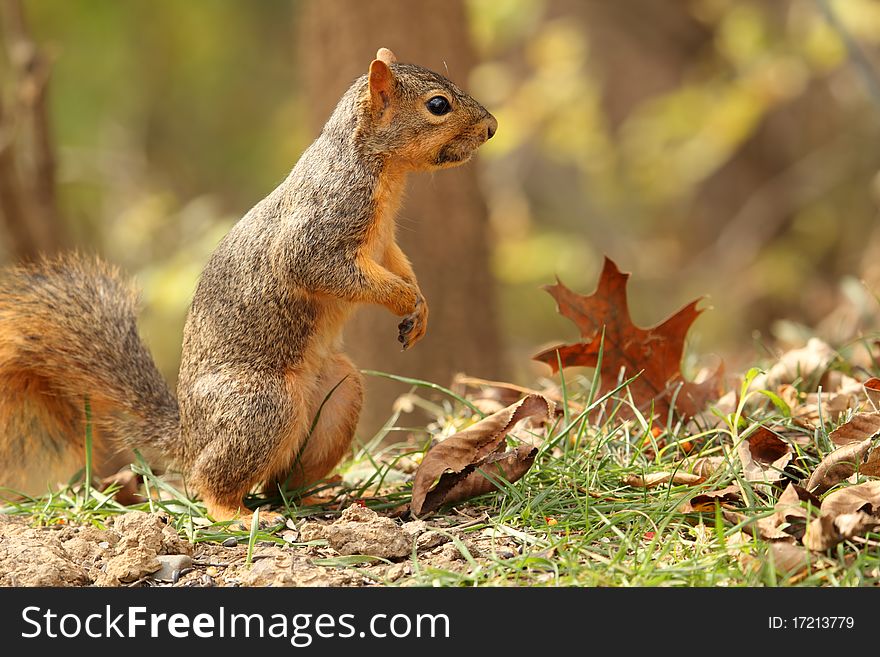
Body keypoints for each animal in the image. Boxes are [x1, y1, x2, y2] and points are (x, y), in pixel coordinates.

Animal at [0, 47, 496, 524]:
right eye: (437, 105)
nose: (491, 127)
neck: (379, 168)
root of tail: (189, 437)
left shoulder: (384, 245)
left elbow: (399, 265)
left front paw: (421, 307)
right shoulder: (321, 227)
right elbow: (317, 267)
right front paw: (404, 298)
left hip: (339, 396)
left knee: (279, 481)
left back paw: (314, 498)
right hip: (262, 407)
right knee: (211, 481)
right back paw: (233, 513)